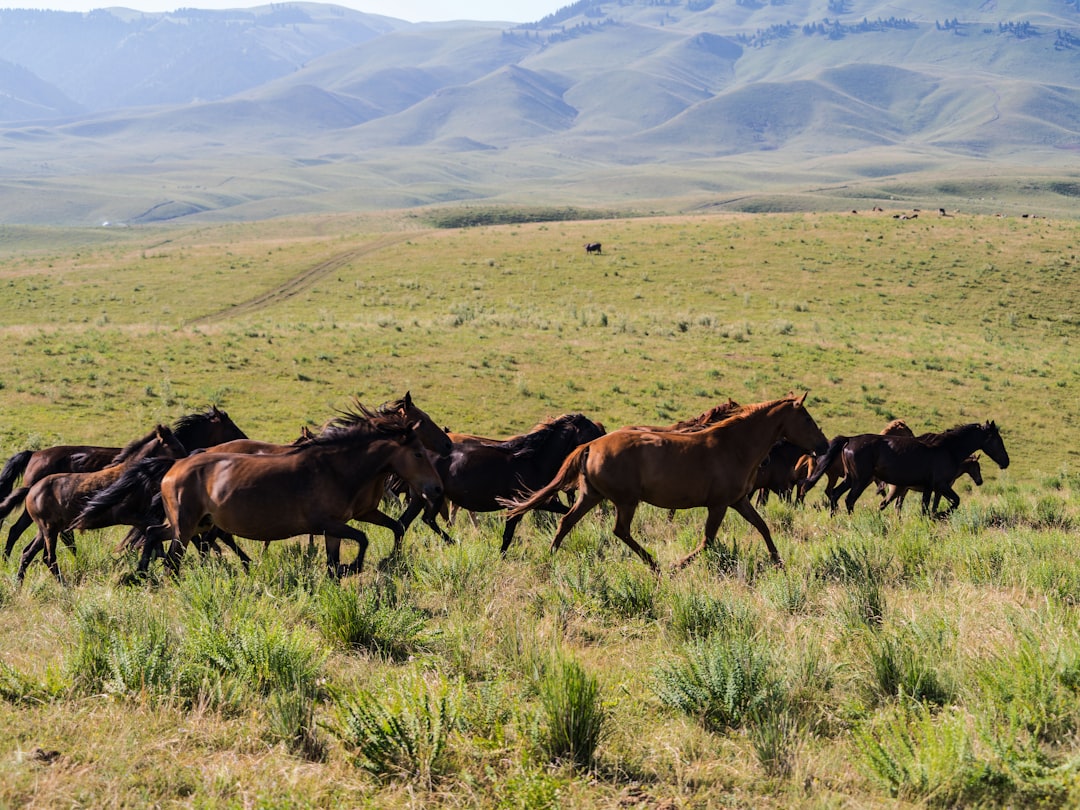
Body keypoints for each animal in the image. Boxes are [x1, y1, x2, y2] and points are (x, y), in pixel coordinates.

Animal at [16, 425, 189, 583]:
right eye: (174, 447)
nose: (185, 462)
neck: (131, 476)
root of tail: (31, 490)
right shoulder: (127, 516)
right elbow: (150, 527)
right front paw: (160, 556)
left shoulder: (140, 516)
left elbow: (150, 530)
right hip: (49, 529)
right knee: (49, 557)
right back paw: (64, 586)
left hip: (45, 529)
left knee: (28, 553)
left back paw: (18, 585)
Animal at [147, 406, 442, 578]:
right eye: (418, 453)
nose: (437, 488)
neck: (334, 469)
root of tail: (174, 467)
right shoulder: (327, 523)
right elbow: (363, 539)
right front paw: (353, 568)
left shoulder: (338, 526)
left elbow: (339, 558)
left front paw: (344, 572)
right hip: (186, 528)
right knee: (173, 562)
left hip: (195, 524)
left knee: (155, 534)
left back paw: (141, 575)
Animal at [401, 414, 613, 557]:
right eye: (592, 431)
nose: (603, 447)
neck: (534, 461)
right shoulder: (518, 504)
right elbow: (508, 536)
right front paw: (501, 558)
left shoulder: (538, 501)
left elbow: (564, 512)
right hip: (434, 497)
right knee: (428, 519)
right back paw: (452, 542)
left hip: (420, 498)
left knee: (408, 522)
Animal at [807, 421, 1006, 516]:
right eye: (997, 439)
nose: (1006, 461)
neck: (948, 448)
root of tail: (850, 439)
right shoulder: (941, 485)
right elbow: (954, 502)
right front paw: (941, 515)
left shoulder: (930, 487)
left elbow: (927, 507)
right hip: (861, 480)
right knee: (849, 500)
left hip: (851, 478)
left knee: (835, 494)